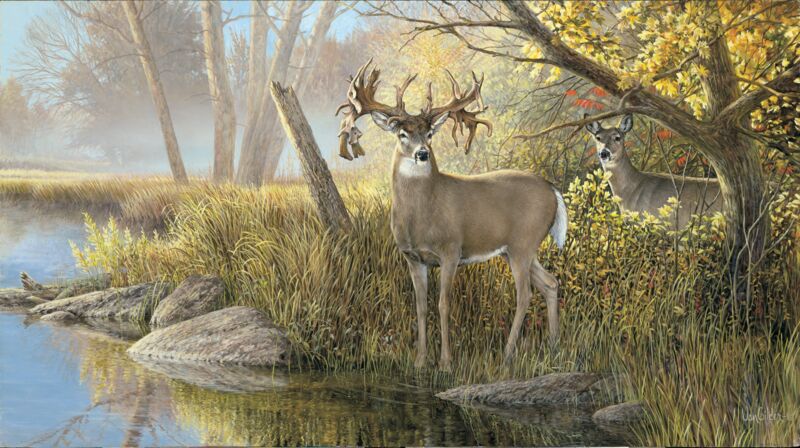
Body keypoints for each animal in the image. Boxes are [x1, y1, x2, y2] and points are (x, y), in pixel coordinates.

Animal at [337, 60, 568, 370]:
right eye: (402, 134)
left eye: (430, 133)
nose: (422, 154)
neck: (421, 218)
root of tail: (553, 190)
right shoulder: (413, 257)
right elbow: (421, 306)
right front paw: (420, 361)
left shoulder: (451, 250)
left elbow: (444, 304)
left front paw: (446, 362)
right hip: (515, 250)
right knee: (550, 283)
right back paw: (554, 346)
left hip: (524, 242)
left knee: (525, 294)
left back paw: (508, 354)